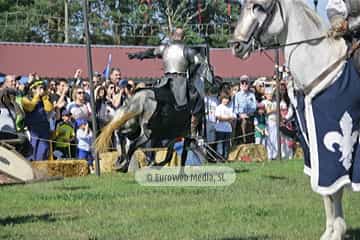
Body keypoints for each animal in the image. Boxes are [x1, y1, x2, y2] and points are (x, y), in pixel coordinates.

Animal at [232, 0, 358, 239]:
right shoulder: (314, 143)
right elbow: (328, 192)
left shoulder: (335, 147)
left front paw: (337, 231)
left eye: (259, 6)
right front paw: (331, 231)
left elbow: (333, 187)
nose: (235, 45)